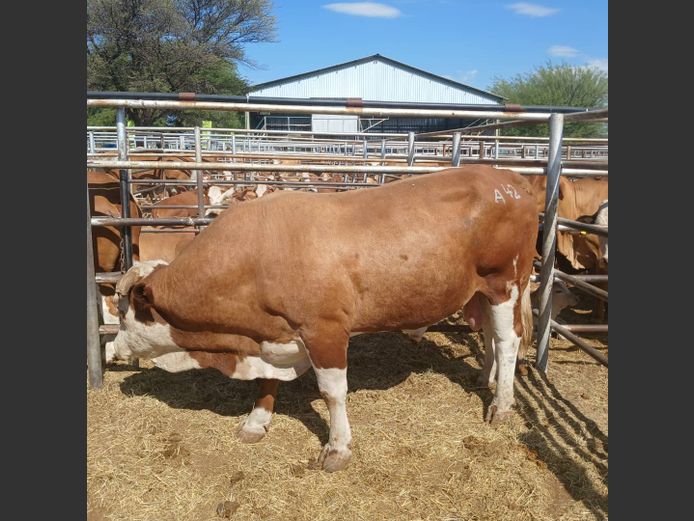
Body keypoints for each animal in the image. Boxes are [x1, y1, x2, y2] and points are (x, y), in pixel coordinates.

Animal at [109, 165, 538, 472]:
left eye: (122, 310)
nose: (113, 348)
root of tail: (508, 178)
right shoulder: (273, 331)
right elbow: (268, 382)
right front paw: (256, 421)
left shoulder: (324, 329)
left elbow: (333, 392)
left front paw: (337, 448)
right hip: (481, 291)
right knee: (490, 334)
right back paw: (486, 378)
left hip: (505, 282)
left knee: (507, 339)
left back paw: (501, 404)